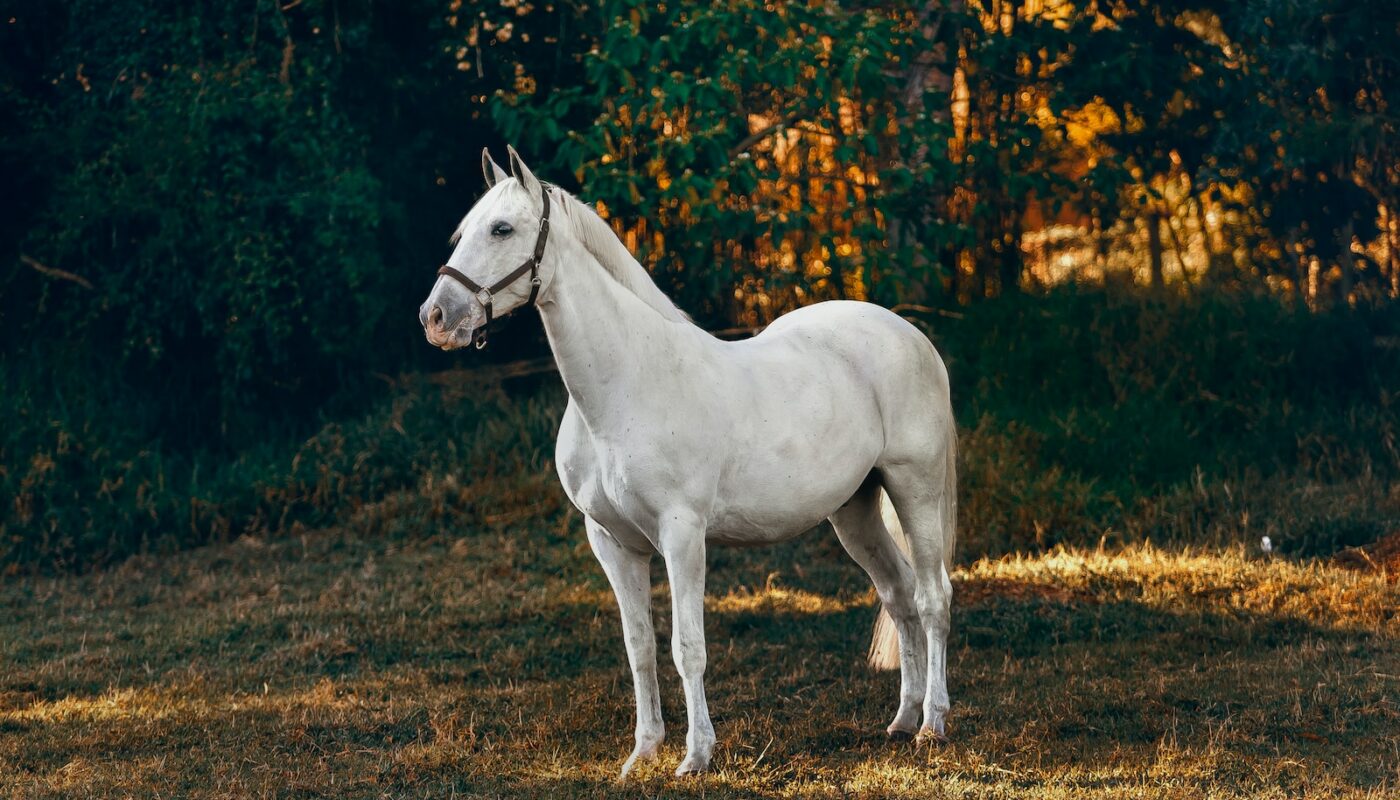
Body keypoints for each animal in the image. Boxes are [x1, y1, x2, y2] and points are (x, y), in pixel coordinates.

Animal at [420, 147, 957, 778]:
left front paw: (695, 755)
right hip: (854, 511)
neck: (626, 385)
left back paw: (932, 725)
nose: (435, 318)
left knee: (932, 598)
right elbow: (640, 648)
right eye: (464, 232)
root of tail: (910, 335)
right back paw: (901, 720)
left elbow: (687, 648)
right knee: (898, 595)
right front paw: (642, 753)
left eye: (502, 229)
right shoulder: (612, 542)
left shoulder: (682, 535)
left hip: (914, 488)